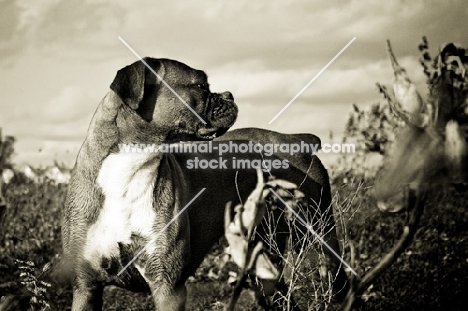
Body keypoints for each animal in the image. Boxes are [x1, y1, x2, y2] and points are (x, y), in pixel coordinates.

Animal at [61, 58, 348, 310]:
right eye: (200, 85)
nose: (230, 95)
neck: (129, 169)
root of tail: (298, 139)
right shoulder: (86, 287)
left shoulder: (168, 287)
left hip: (318, 240)